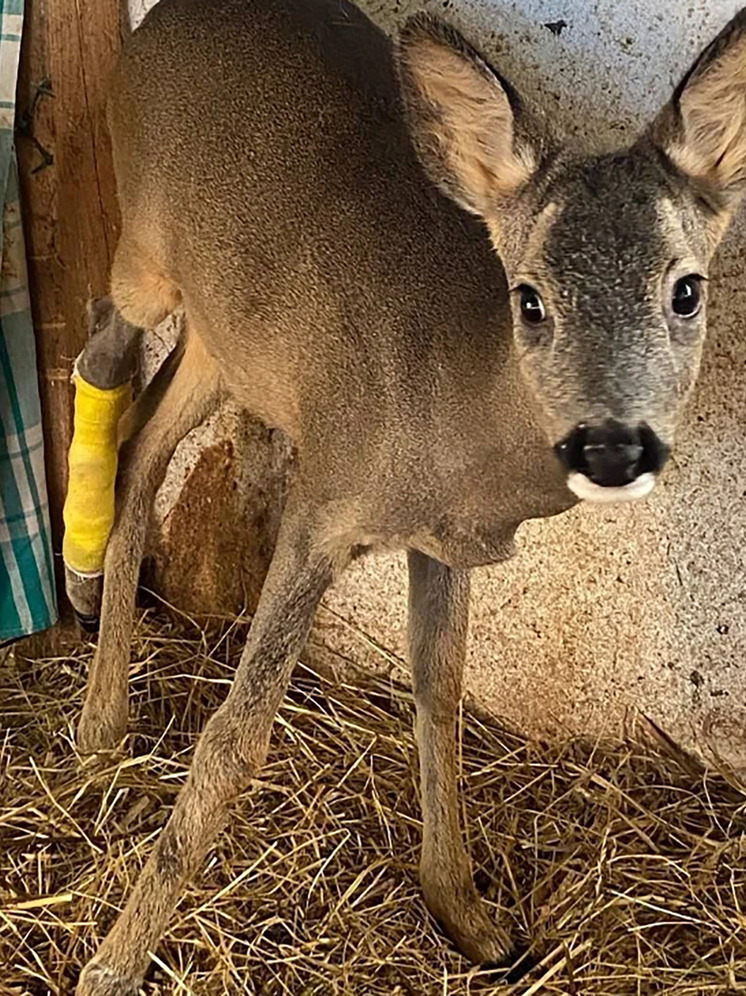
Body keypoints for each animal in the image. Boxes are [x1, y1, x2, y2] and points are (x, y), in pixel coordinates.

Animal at [72, 0, 744, 984]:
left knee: (147, 438)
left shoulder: (441, 543)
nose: (613, 443)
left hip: (228, 337)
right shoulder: (323, 501)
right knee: (102, 353)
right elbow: (237, 737)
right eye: (530, 299)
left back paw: (105, 716)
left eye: (686, 291)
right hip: (146, 251)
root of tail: (156, 22)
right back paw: (93, 709)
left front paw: (467, 914)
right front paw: (116, 963)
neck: (457, 435)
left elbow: (443, 696)